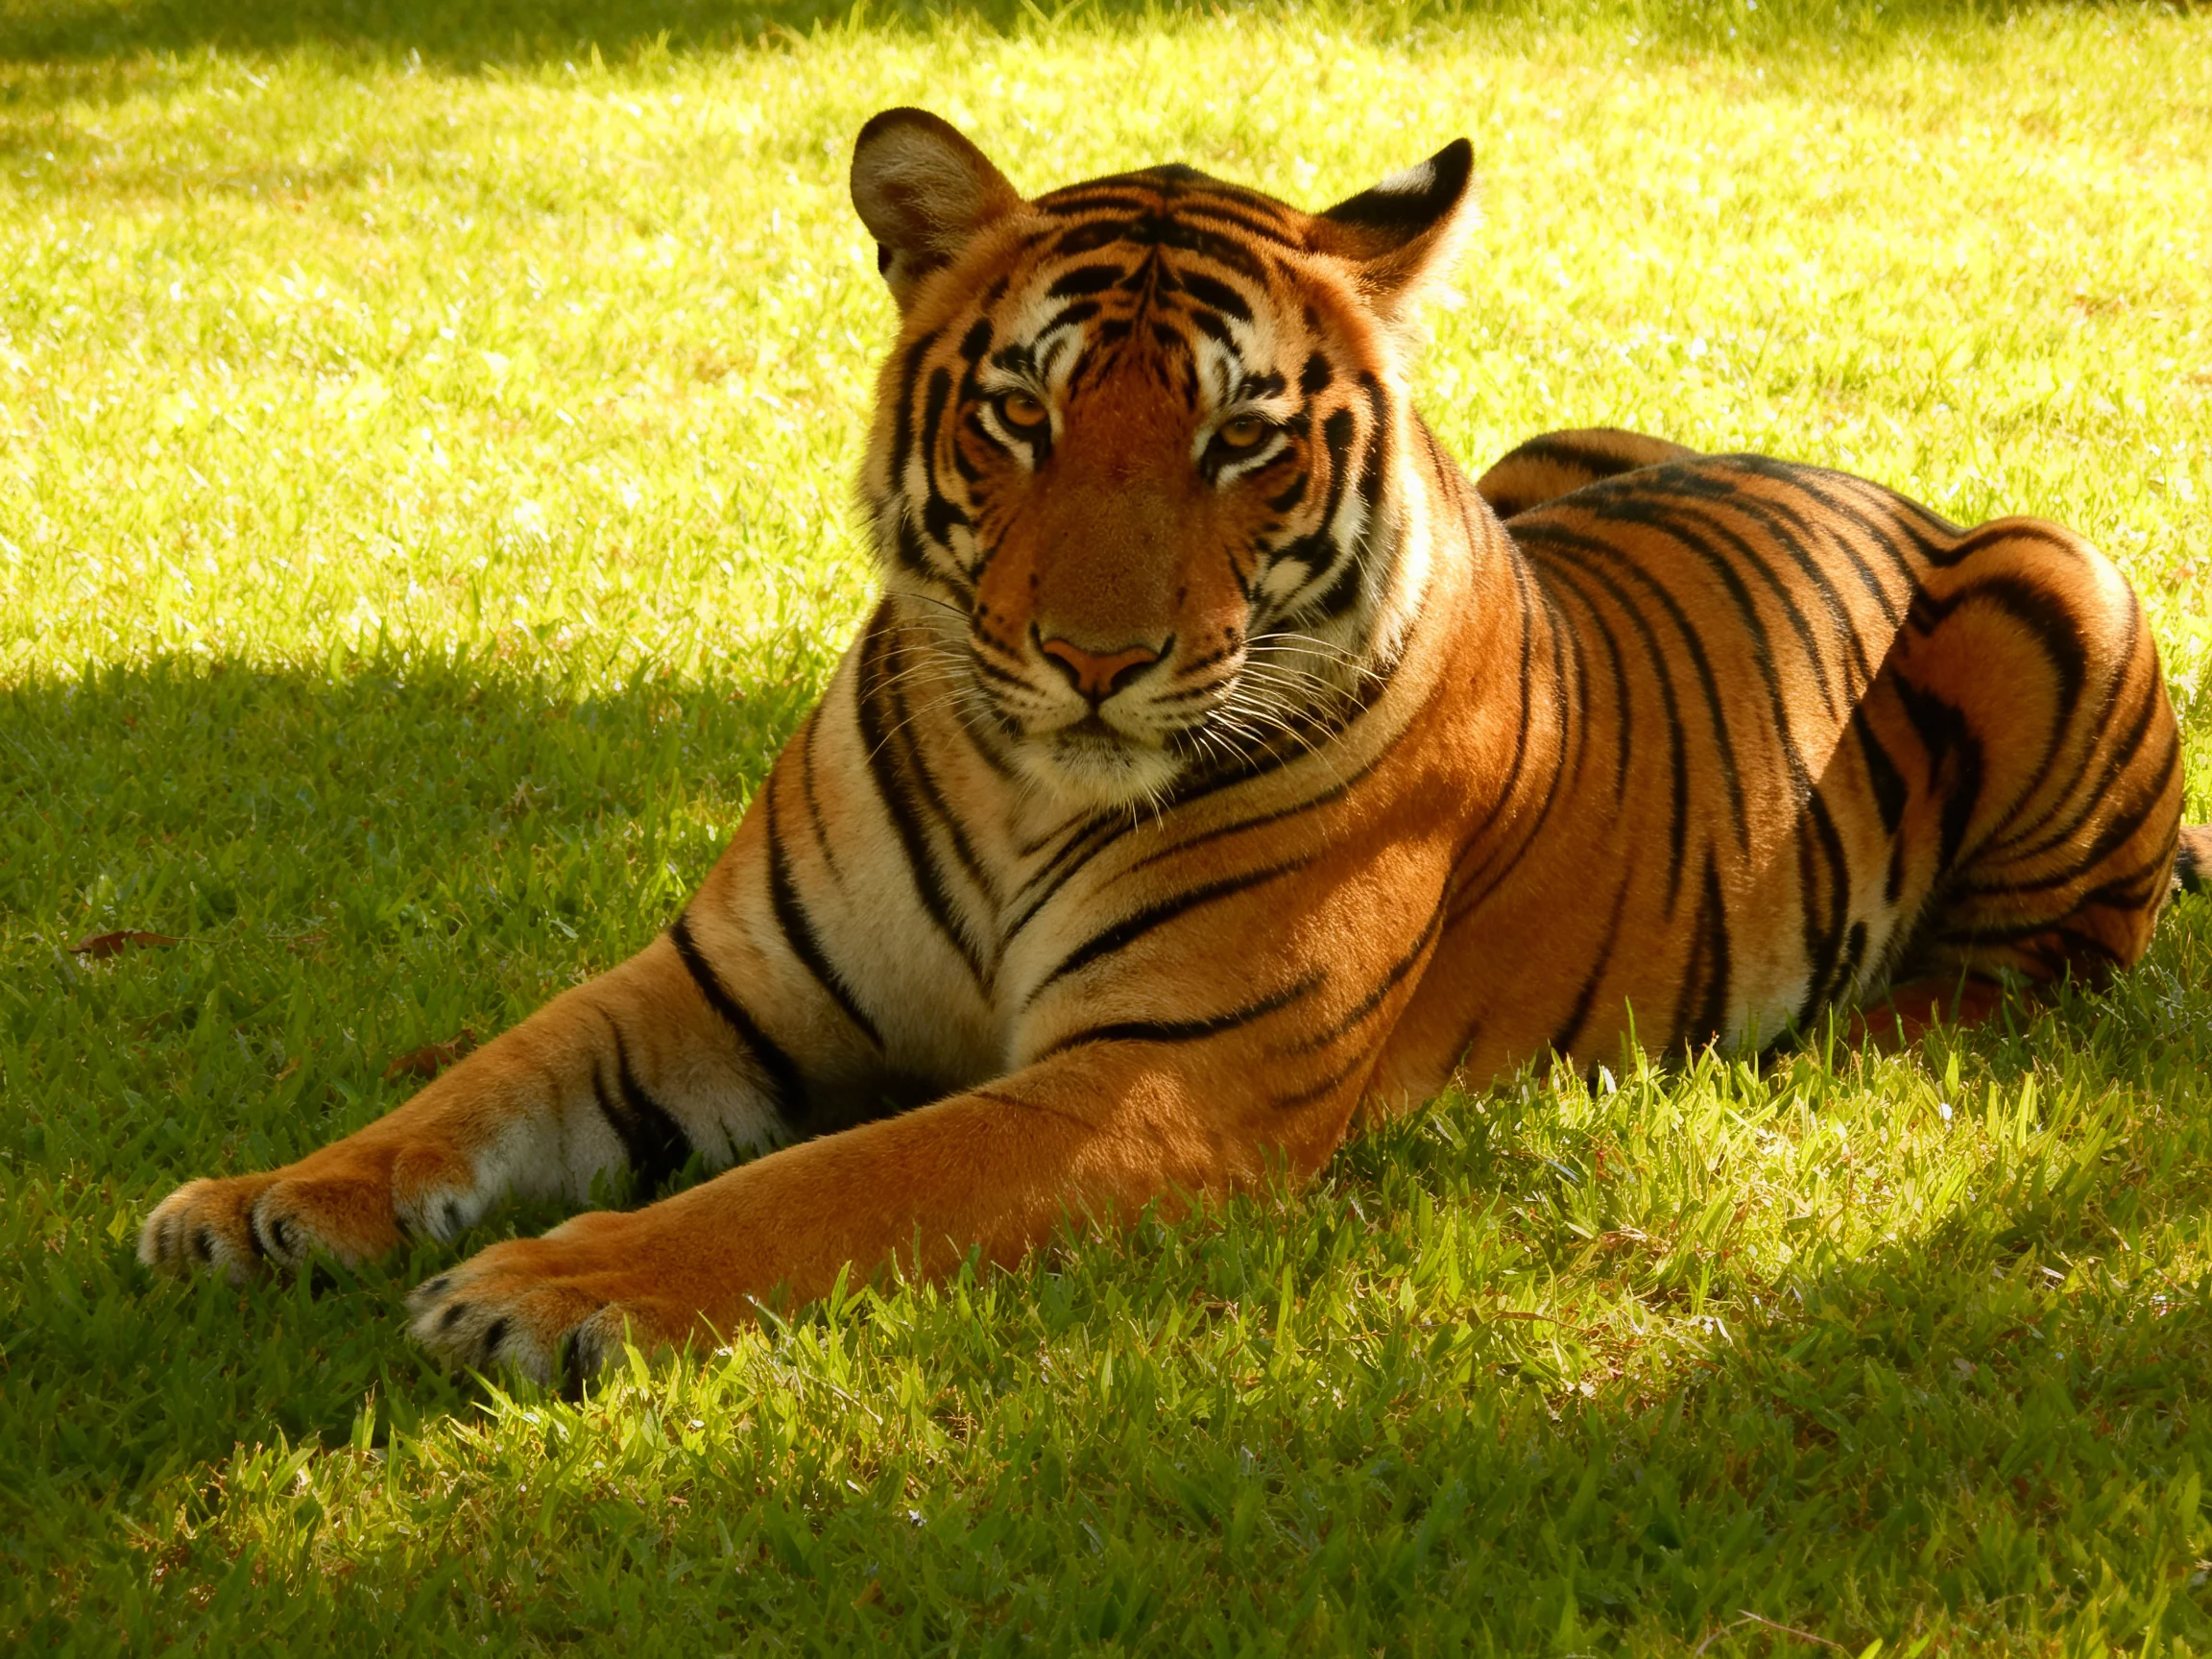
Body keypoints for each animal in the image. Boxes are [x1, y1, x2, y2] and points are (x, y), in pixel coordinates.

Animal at [140, 108, 2206, 1386]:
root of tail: (1877, 484)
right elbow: (475, 1085)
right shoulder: (713, 984)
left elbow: (822, 1187)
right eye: (1020, 415)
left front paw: (551, 1286)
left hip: (2060, 578)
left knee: (2055, 960)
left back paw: (1866, 1026)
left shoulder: (1159, 1077)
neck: (1016, 780)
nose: (1094, 660)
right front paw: (263, 1206)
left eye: (1238, 441)